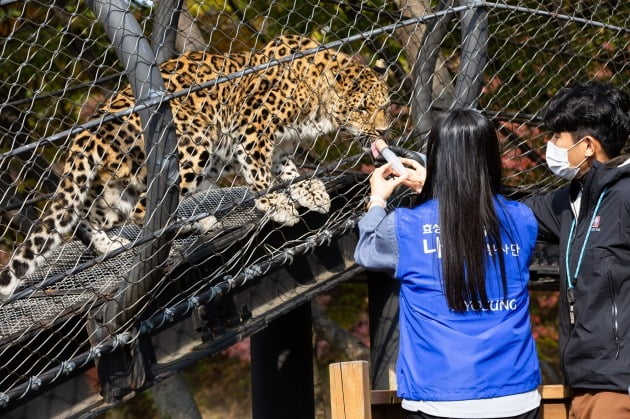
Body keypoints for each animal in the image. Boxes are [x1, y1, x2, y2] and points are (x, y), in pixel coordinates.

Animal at [0, 34, 392, 300]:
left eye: (385, 105)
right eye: (361, 108)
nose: (385, 130)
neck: (315, 101)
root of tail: (92, 127)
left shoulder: (279, 147)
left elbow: (288, 173)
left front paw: (309, 192)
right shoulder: (251, 130)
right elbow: (261, 177)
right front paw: (279, 207)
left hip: (120, 186)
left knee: (92, 217)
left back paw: (113, 244)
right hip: (192, 144)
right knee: (148, 210)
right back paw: (186, 228)